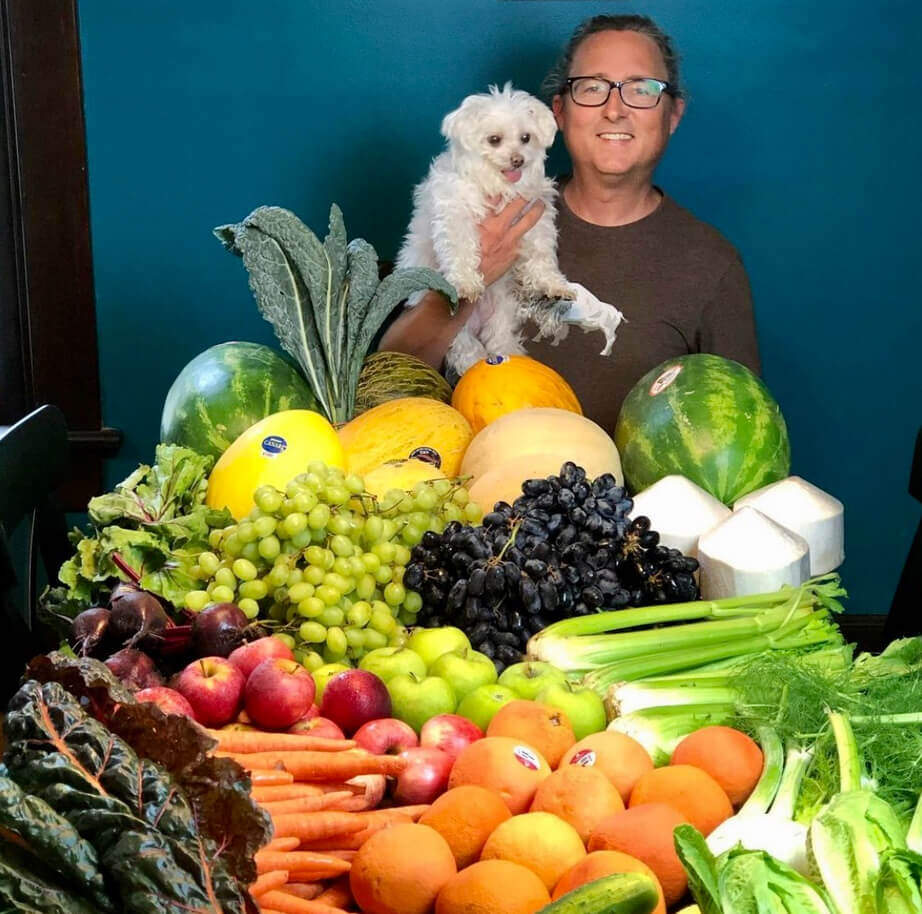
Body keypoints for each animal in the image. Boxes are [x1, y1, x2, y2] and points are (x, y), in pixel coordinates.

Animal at [394, 81, 572, 374]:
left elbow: (541, 253)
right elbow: (460, 247)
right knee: (463, 347)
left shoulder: (535, 213)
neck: (496, 186)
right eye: (494, 140)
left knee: (499, 336)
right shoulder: (454, 212)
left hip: (504, 307)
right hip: (453, 327)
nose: (518, 160)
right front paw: (465, 281)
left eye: (526, 138)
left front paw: (552, 283)